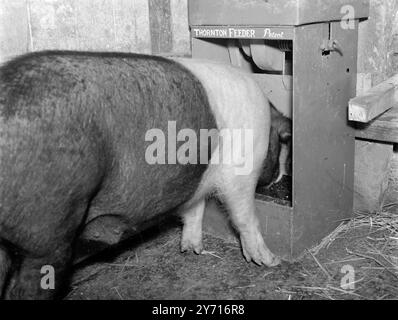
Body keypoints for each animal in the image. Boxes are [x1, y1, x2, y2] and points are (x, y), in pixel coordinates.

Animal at [0, 51, 280, 298]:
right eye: (281, 142)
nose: (276, 177)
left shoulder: (193, 184)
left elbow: (193, 211)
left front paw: (192, 250)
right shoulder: (241, 170)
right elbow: (244, 216)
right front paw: (268, 261)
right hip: (49, 231)